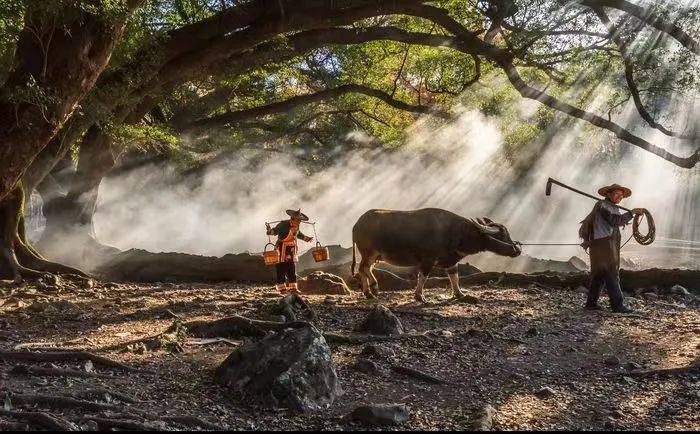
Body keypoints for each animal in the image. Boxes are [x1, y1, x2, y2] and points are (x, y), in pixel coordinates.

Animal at [350, 209, 520, 300]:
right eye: (503, 235)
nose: (517, 250)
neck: (456, 232)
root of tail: (357, 224)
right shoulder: (428, 260)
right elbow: (423, 277)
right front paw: (419, 296)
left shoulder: (451, 261)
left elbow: (454, 277)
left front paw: (460, 294)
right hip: (369, 253)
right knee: (363, 268)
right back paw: (373, 288)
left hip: (373, 256)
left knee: (365, 269)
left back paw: (368, 292)